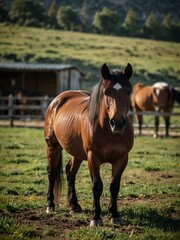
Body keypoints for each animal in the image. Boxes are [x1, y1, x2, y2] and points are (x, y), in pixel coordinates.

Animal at [44, 62, 133, 227]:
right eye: (106, 92)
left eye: (129, 92)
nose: (117, 123)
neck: (109, 131)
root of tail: (56, 101)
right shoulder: (93, 157)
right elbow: (97, 186)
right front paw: (96, 218)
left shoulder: (122, 158)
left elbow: (114, 186)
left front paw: (114, 214)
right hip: (53, 147)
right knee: (52, 172)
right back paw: (50, 205)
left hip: (77, 152)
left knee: (70, 172)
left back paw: (74, 206)